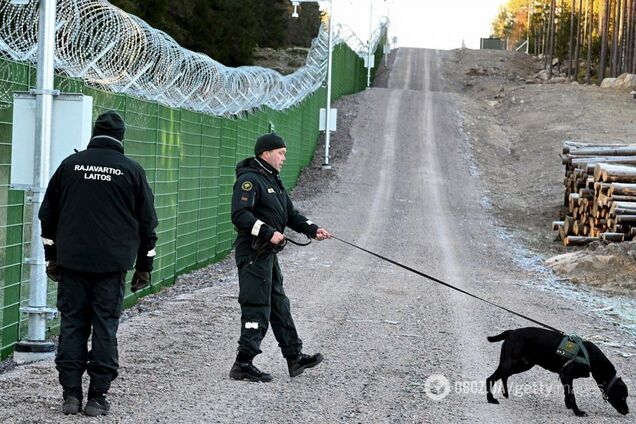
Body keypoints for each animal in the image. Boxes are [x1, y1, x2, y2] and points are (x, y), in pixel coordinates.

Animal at [484, 328, 628, 418]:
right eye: (622, 397)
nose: (627, 411)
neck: (592, 358)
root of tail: (511, 332)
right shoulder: (566, 375)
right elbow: (572, 395)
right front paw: (578, 412)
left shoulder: (565, 377)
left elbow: (567, 393)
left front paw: (569, 405)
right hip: (512, 363)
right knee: (491, 378)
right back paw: (491, 399)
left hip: (522, 365)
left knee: (503, 376)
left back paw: (505, 393)